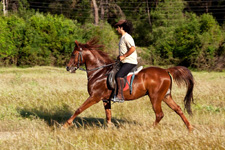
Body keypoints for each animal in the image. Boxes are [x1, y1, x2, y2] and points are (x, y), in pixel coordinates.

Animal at [64, 39, 194, 131]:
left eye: (73, 54)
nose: (68, 68)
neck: (99, 72)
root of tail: (166, 71)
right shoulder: (105, 99)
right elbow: (108, 115)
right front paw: (110, 129)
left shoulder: (94, 97)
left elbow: (79, 109)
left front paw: (66, 125)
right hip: (166, 96)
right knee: (178, 109)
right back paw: (190, 128)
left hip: (155, 97)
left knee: (159, 114)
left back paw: (149, 129)